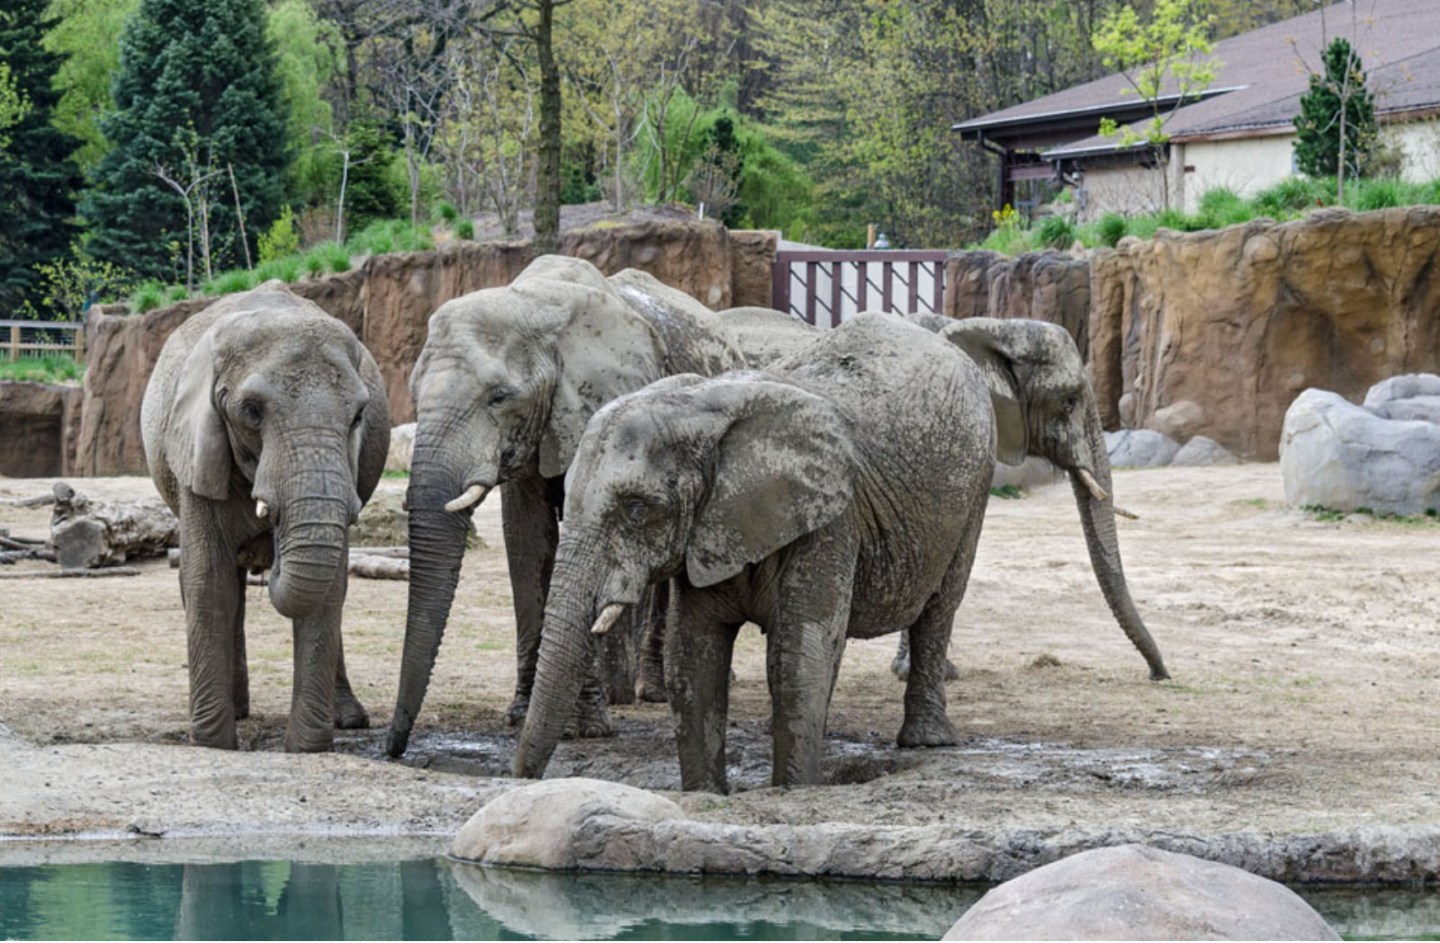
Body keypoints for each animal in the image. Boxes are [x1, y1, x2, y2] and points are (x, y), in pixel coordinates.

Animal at [141, 282, 391, 754]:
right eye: (251, 412)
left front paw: (306, 749)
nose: (269, 548)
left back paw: (349, 720)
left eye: (358, 416)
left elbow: (330, 589)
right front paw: (214, 744)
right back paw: (238, 711)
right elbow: (208, 581)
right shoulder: (197, 450)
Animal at [385, 253, 743, 760]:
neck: (534, 304)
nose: (393, 747)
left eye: (499, 398)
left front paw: (583, 728)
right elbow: (526, 540)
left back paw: (654, 693)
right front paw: (520, 715)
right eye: (414, 395)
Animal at [518, 313, 1002, 794]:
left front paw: (796, 789)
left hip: (976, 486)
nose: (521, 778)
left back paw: (926, 741)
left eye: (637, 509)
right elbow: (693, 658)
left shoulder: (829, 520)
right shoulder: (708, 530)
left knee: (938, 609)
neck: (702, 406)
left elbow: (794, 659)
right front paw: (706, 793)